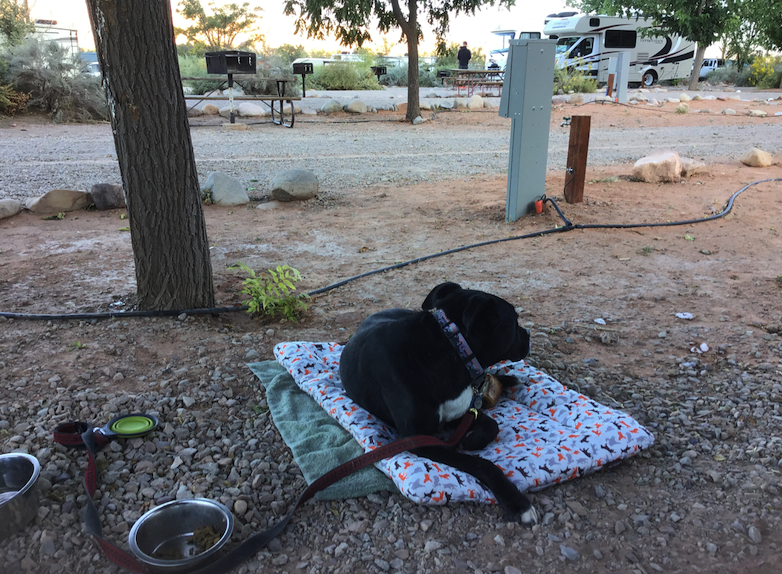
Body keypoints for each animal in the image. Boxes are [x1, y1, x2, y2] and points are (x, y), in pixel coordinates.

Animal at [340, 282, 544, 528]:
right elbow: (482, 464)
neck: (450, 348)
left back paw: (510, 379)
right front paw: (517, 503)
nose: (529, 333)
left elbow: (492, 425)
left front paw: (471, 439)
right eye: (514, 322)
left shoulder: (460, 412)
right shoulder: (419, 439)